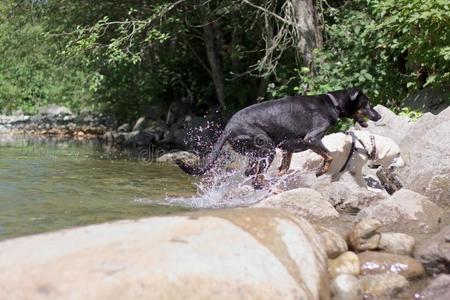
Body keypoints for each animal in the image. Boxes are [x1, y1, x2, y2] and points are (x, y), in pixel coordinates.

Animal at [178, 88, 382, 189]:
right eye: (366, 103)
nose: (378, 116)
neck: (332, 103)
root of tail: (228, 128)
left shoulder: (287, 148)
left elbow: (284, 168)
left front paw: (281, 176)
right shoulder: (312, 139)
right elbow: (329, 156)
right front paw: (321, 171)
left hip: (258, 152)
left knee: (251, 174)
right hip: (266, 147)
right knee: (255, 179)